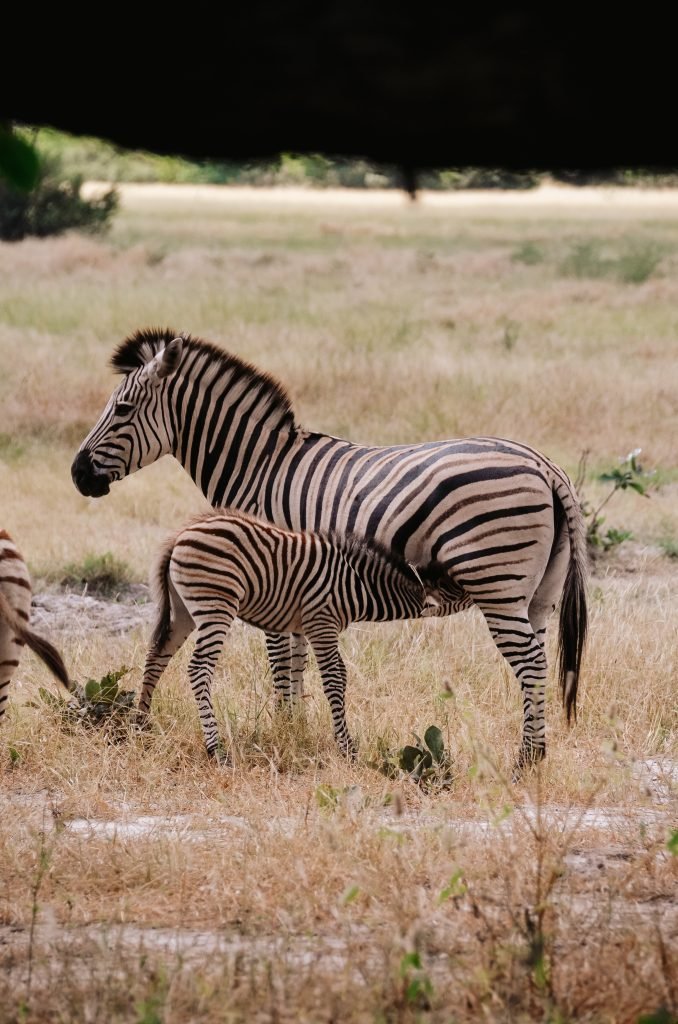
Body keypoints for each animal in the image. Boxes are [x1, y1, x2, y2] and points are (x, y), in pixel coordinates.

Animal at [139, 508, 466, 759]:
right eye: (458, 587)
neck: (358, 585)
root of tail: (180, 536)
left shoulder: (305, 628)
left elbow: (300, 674)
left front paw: (296, 729)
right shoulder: (322, 623)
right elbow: (335, 678)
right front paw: (346, 748)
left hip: (183, 611)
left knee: (157, 657)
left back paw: (140, 724)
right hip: (216, 606)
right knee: (199, 668)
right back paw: (216, 749)